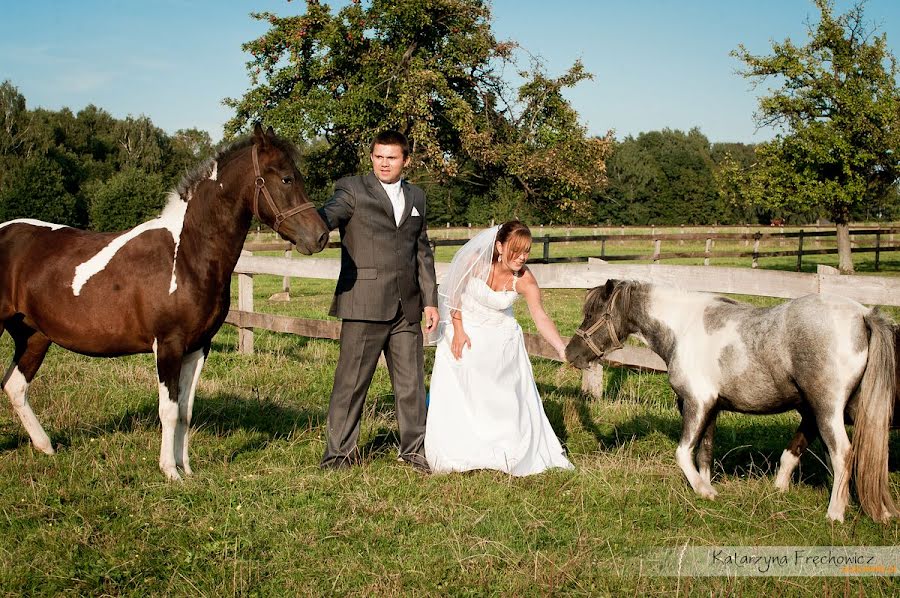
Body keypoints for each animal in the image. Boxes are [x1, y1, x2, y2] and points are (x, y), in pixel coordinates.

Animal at [0, 124, 330, 480]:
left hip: (34, 336)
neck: (185, 255)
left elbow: (186, 410)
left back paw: (46, 446)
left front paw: (187, 468)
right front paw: (170, 471)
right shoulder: (168, 345)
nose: (321, 236)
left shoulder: (198, 347)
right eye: (286, 178)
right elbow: (169, 410)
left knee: (15, 387)